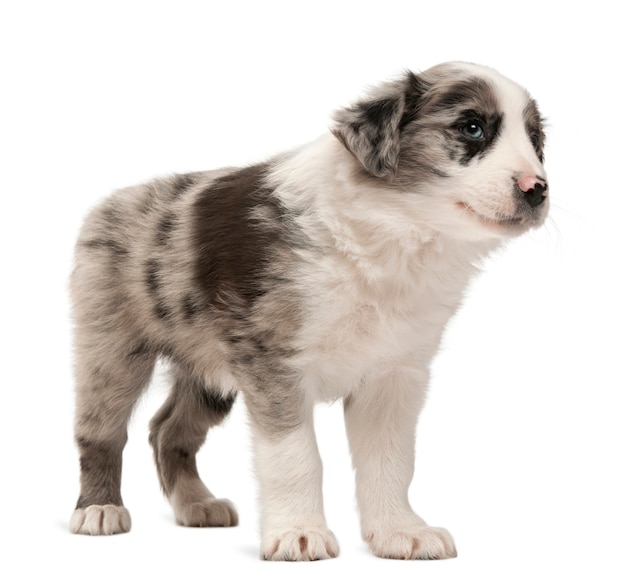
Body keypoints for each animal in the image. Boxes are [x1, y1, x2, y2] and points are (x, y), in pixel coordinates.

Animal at [68, 62, 544, 560]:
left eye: (536, 139)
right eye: (472, 127)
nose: (538, 190)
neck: (394, 231)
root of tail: (111, 202)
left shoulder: (394, 374)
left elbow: (391, 460)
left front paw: (400, 531)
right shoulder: (274, 364)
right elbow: (295, 457)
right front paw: (298, 532)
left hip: (208, 371)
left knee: (167, 430)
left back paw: (196, 504)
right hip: (112, 347)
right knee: (101, 431)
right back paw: (98, 509)